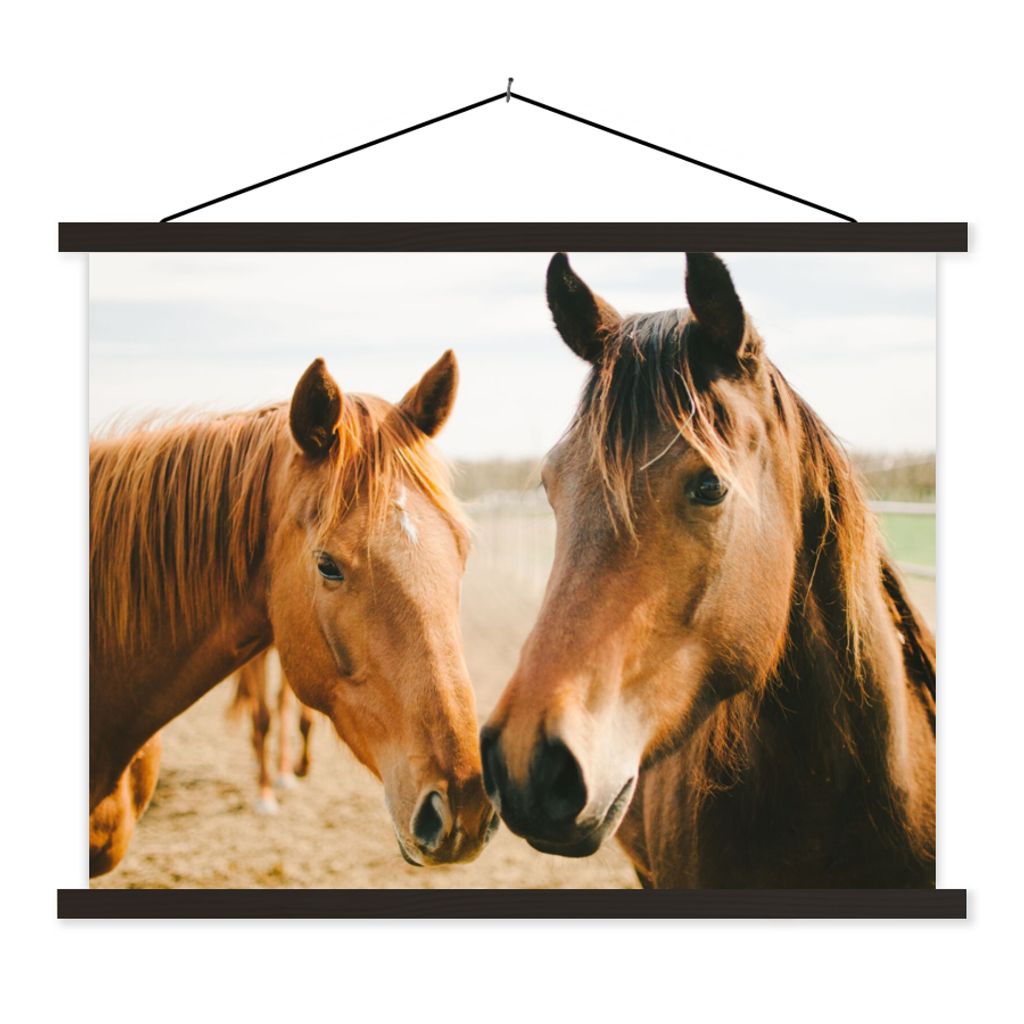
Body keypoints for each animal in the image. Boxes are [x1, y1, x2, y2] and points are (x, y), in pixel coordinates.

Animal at [229, 647, 316, 814]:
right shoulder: (255, 659)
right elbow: (262, 720)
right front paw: (265, 795)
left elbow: (306, 720)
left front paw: (302, 767)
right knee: (253, 704)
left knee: (282, 703)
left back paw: (284, 771)